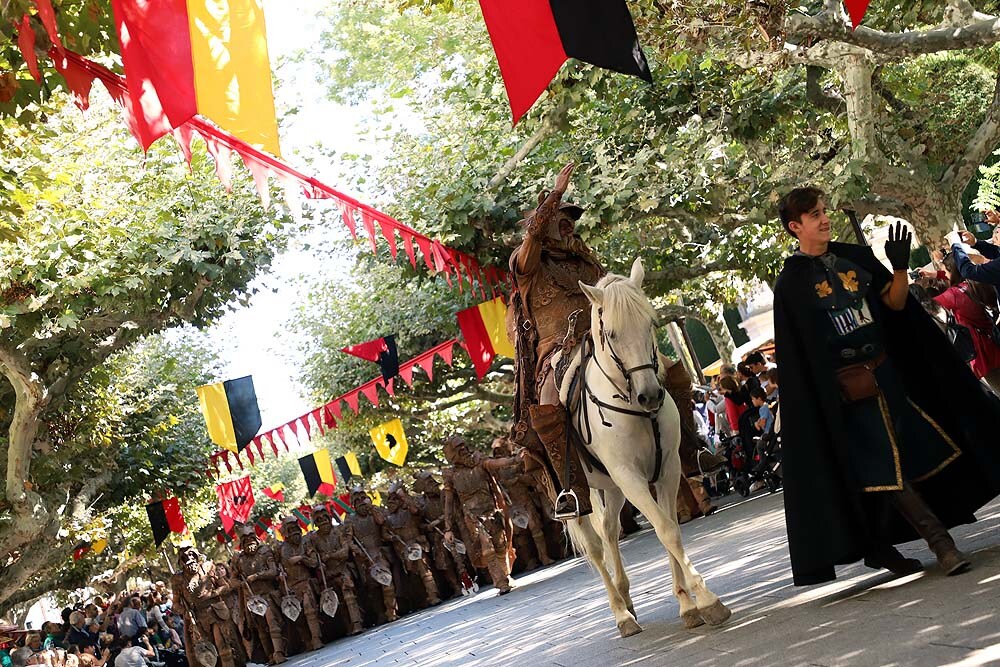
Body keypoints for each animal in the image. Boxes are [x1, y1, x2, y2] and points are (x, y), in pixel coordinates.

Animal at [552, 258, 732, 640]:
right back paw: (621, 614)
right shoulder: (631, 477)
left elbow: (671, 528)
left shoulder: (667, 470)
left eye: (650, 323)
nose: (649, 395)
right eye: (611, 334)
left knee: (610, 531)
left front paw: (688, 604)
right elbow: (664, 529)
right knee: (595, 547)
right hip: (583, 492)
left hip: (611, 488)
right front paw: (707, 600)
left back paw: (626, 597)